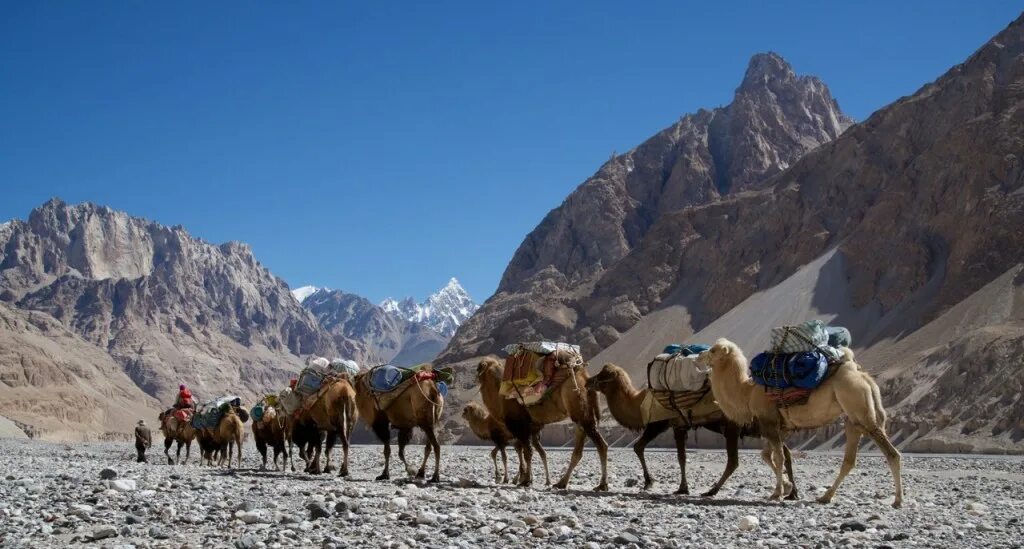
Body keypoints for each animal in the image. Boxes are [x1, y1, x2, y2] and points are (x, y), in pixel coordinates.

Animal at [475, 356, 602, 493]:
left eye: (478, 367)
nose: (476, 377)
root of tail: (584, 376)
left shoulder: (520, 427)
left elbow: (527, 453)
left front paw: (525, 481)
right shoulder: (532, 428)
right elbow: (528, 452)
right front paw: (527, 480)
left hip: (579, 408)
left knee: (600, 444)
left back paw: (601, 484)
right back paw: (561, 483)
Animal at [585, 364, 798, 497]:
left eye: (602, 376)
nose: (587, 381)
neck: (639, 403)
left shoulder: (662, 422)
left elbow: (641, 447)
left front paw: (652, 482)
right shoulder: (678, 425)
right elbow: (681, 456)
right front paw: (681, 488)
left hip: (733, 425)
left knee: (734, 461)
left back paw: (712, 491)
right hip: (764, 427)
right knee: (785, 452)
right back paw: (793, 492)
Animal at [696, 338, 905, 510]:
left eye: (713, 350)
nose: (698, 357)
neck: (747, 392)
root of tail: (865, 378)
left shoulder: (768, 420)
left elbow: (778, 456)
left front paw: (777, 493)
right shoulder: (780, 426)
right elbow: (767, 455)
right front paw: (788, 487)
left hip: (860, 408)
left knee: (891, 453)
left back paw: (897, 500)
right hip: (853, 418)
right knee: (850, 459)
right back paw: (825, 497)